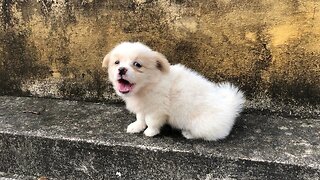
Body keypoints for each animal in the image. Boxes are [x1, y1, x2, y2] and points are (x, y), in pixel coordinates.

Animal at [102, 41, 245, 141]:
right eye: (117, 62)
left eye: (137, 64)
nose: (121, 69)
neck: (147, 86)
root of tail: (229, 107)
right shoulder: (143, 106)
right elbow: (140, 117)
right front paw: (136, 126)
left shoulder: (157, 110)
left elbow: (150, 121)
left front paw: (150, 132)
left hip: (201, 125)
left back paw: (188, 133)